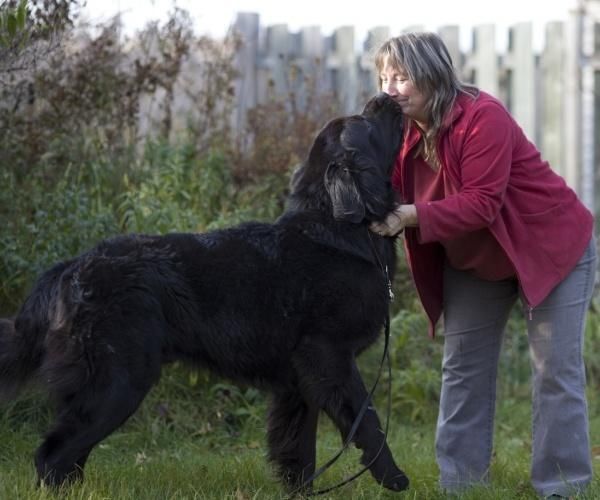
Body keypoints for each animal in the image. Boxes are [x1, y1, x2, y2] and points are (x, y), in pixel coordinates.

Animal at [0, 93, 408, 492]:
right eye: (365, 123)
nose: (385, 95)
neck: (337, 231)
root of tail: (72, 266)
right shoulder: (330, 357)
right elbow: (369, 423)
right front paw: (394, 479)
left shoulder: (300, 380)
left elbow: (298, 448)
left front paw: (303, 491)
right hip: (118, 382)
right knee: (53, 454)